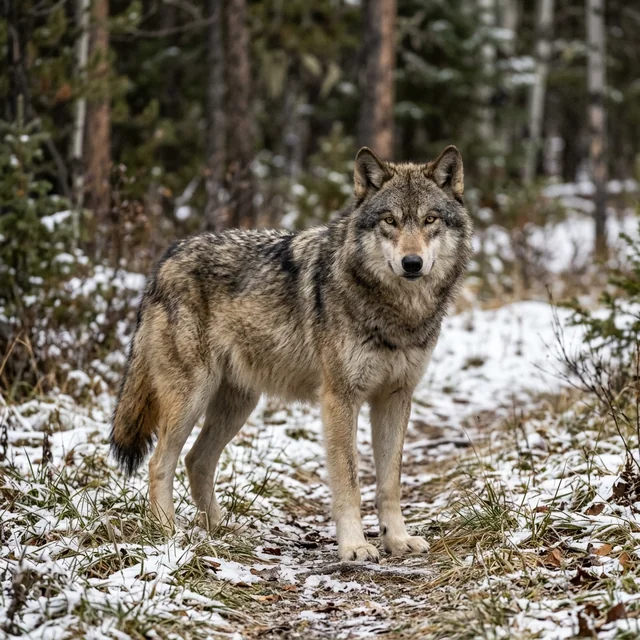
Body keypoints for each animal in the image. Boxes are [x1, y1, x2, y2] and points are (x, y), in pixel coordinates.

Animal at [111, 145, 473, 562]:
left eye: (430, 219)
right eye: (390, 221)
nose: (412, 263)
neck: (398, 311)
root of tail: (164, 261)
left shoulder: (395, 398)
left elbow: (390, 483)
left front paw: (396, 540)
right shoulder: (339, 399)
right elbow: (349, 481)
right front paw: (354, 546)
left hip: (238, 404)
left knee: (196, 461)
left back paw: (220, 531)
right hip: (191, 398)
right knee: (160, 463)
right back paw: (169, 535)